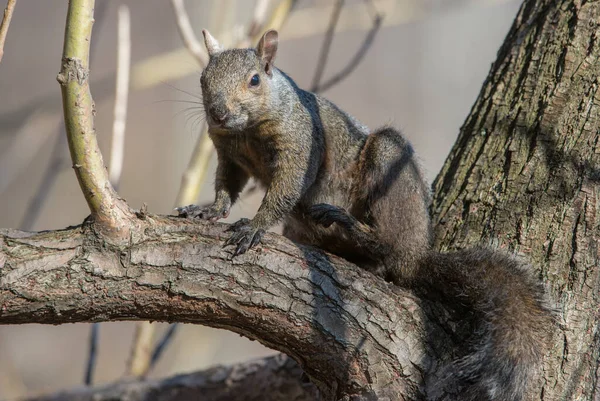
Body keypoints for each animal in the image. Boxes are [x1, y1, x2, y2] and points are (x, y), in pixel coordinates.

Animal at [177, 28, 552, 400]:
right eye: (203, 78)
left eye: (254, 80)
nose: (218, 113)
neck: (247, 131)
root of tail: (417, 256)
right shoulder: (228, 153)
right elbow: (226, 187)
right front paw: (206, 210)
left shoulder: (301, 147)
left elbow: (285, 190)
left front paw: (254, 227)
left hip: (390, 165)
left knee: (386, 246)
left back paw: (350, 224)